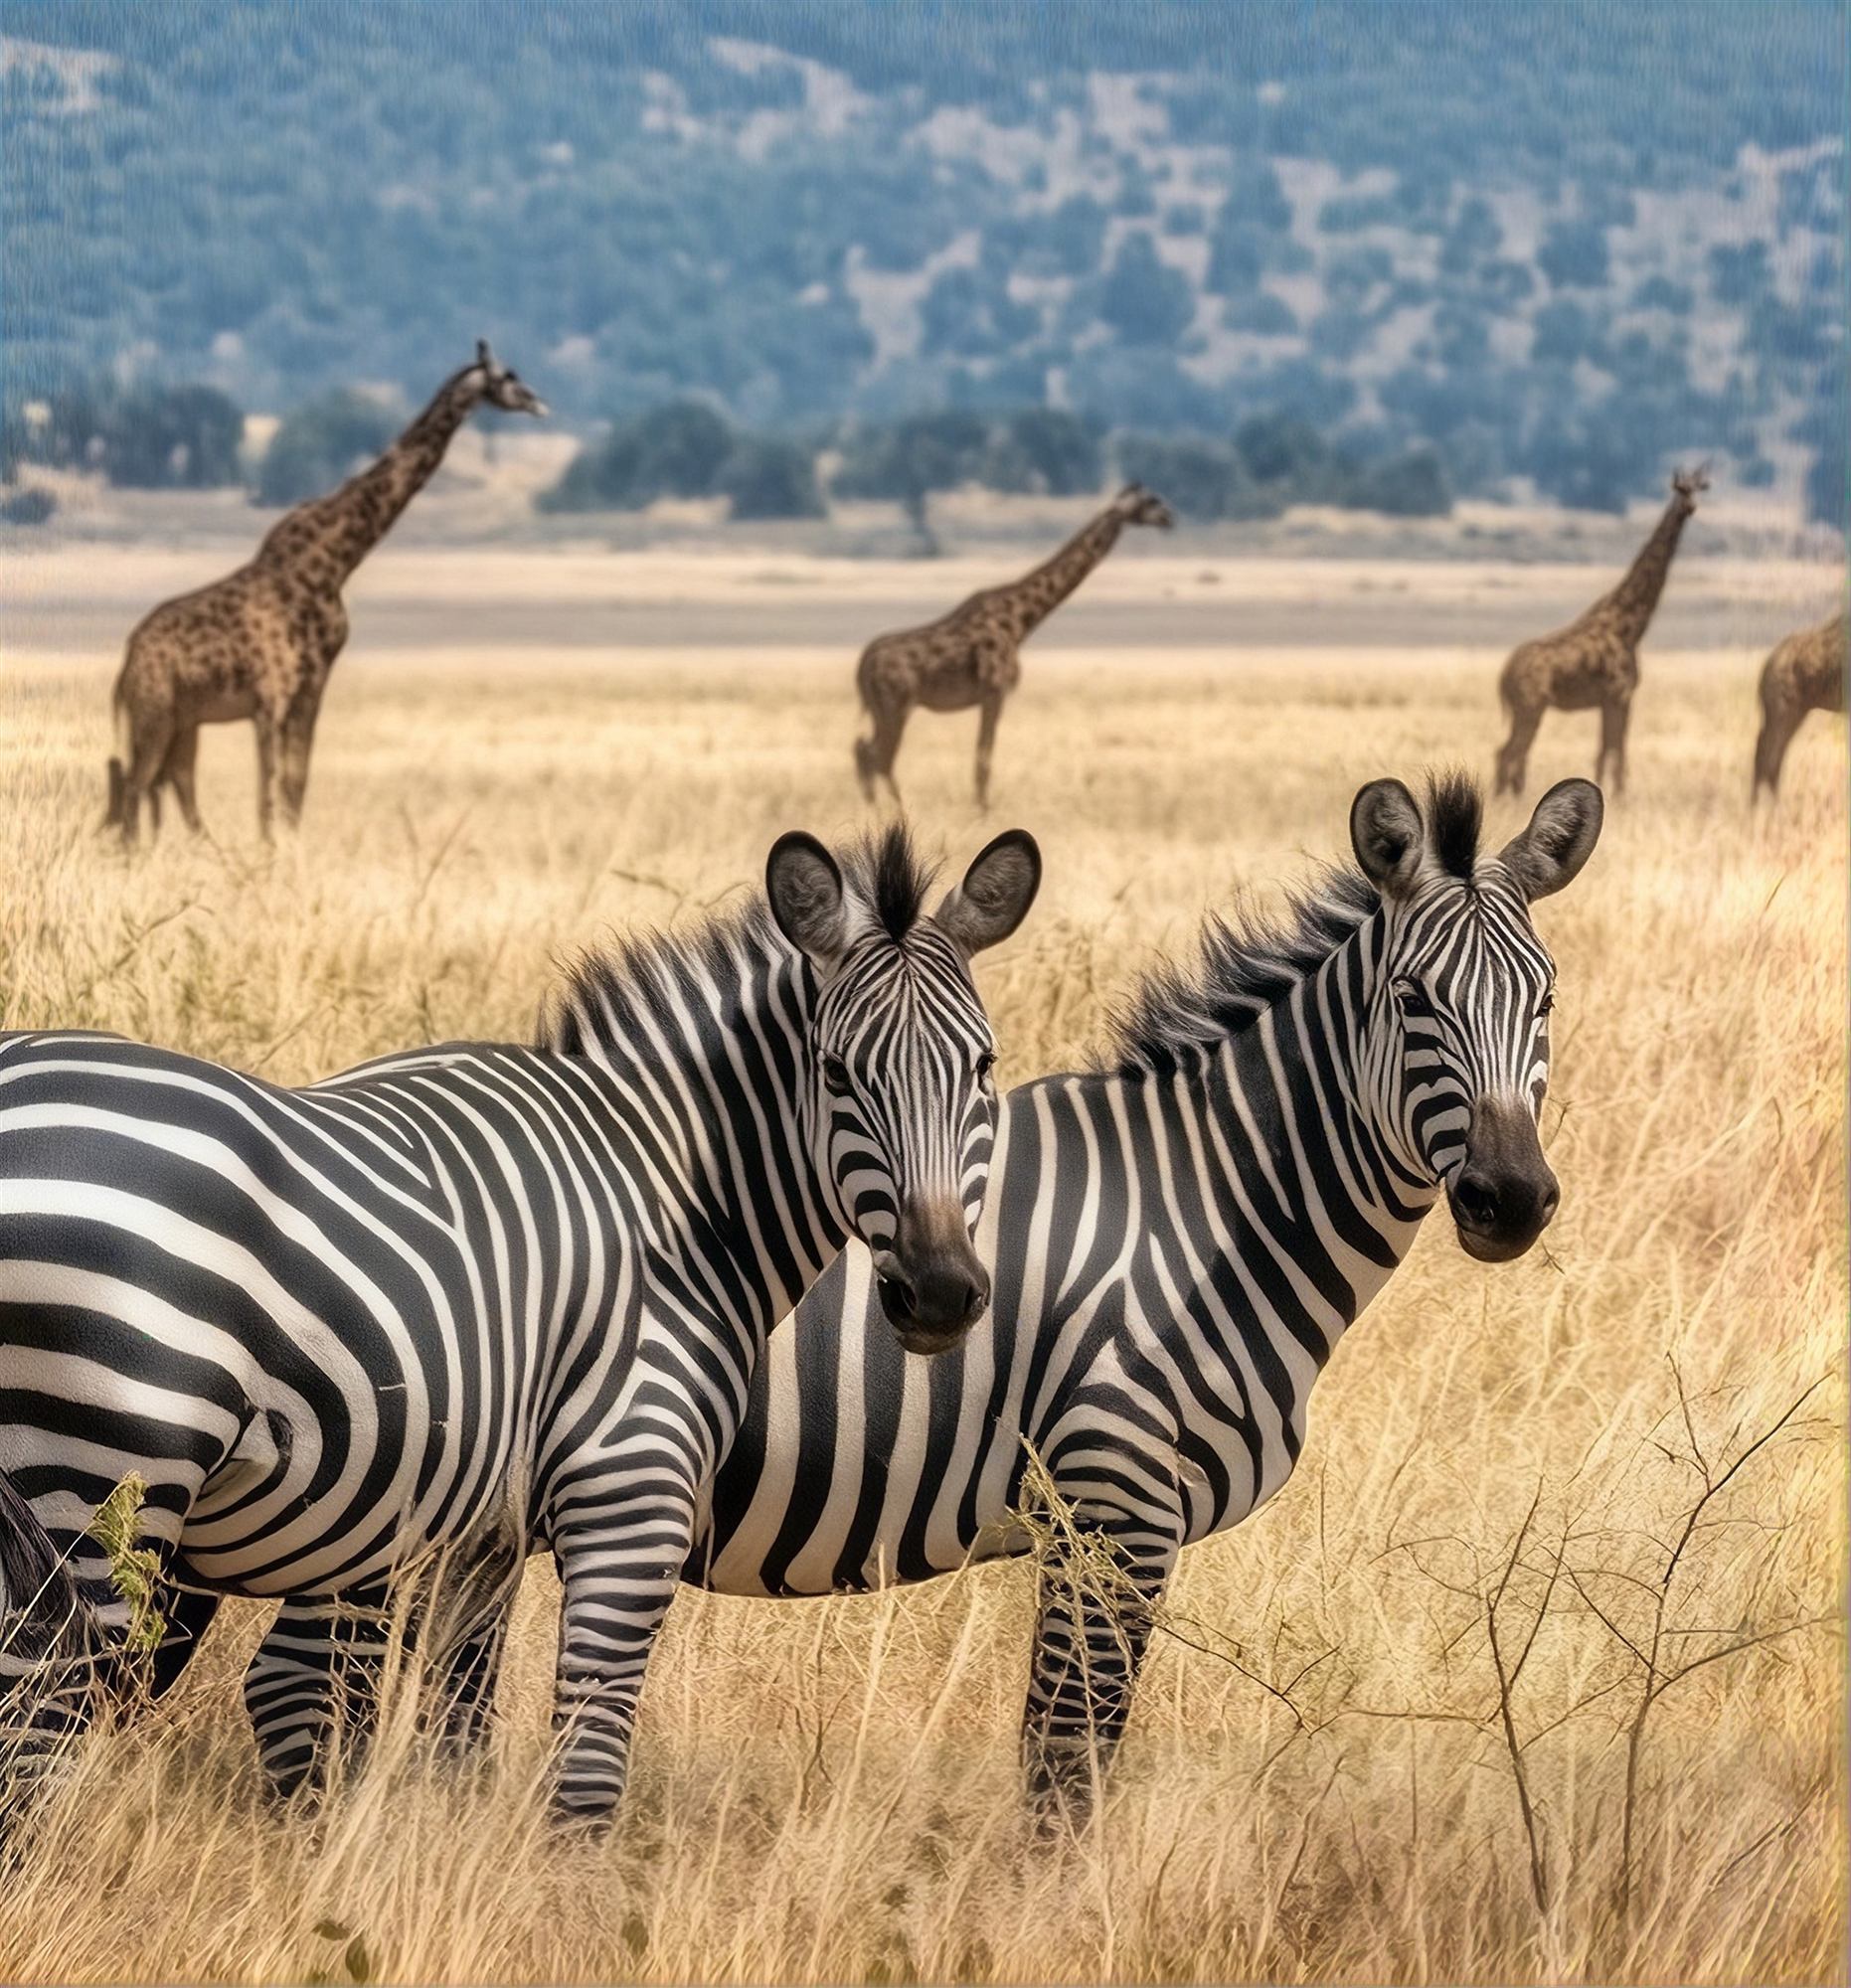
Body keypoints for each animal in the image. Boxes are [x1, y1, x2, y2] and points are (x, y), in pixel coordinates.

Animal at [0, 821, 1041, 1824]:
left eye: (985, 1065)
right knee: (42, 1725)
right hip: (101, 1471)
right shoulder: (631, 1490)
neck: (672, 1196)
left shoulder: (477, 1532)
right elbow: (583, 1776)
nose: (940, 1292)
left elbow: (451, 1738)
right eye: (835, 1071)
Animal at [104, 342, 546, 845]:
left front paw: (288, 851)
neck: (335, 562)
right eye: (508, 376)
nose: (539, 403)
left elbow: (294, 785)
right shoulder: (272, 695)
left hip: (182, 718)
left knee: (166, 785)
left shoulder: (309, 689)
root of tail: (126, 665)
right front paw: (271, 852)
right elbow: (269, 792)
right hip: (155, 711)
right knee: (138, 786)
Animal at [685, 772, 1604, 1812]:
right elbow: (1067, 1768)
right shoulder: (1112, 1505)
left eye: (1546, 997)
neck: (1202, 1211)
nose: (1512, 1198)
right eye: (1412, 999)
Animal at [853, 483, 1175, 807]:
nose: (1169, 519)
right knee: (879, 757)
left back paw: (877, 811)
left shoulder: (990, 696)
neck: (1020, 622)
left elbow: (982, 757)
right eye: (1150, 502)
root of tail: (863, 667)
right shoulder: (995, 692)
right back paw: (897, 812)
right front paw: (983, 811)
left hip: (882, 708)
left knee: (864, 751)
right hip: (897, 705)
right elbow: (983, 760)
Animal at [1493, 466, 1709, 798]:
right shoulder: (1621, 696)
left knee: (1510, 753)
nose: (1691, 508)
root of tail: (1504, 676)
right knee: (1510, 753)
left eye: (1699, 489)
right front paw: (1620, 796)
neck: (1630, 625)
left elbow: (1604, 751)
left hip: (1525, 709)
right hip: (1531, 707)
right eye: (1681, 490)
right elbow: (1616, 752)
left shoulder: (1609, 701)